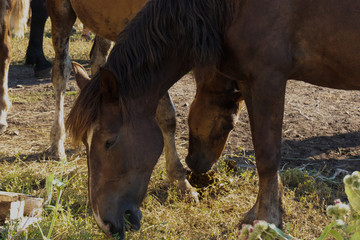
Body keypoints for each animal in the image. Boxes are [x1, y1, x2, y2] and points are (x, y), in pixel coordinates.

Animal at [66, 0, 360, 238]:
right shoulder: (250, 82)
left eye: (110, 141)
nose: (105, 223)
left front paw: (267, 220)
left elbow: (267, 157)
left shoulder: (267, 79)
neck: (235, 7)